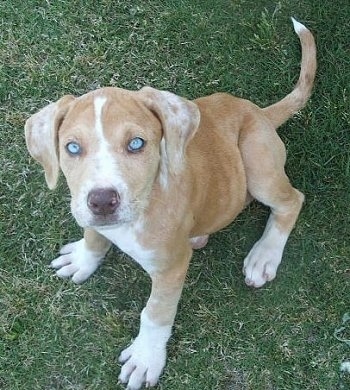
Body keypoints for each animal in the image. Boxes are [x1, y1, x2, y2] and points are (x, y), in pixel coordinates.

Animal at [26, 19, 316, 390]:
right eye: (72, 148)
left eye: (137, 144)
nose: (102, 202)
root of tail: (259, 112)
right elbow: (93, 235)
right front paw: (84, 258)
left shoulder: (171, 266)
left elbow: (155, 313)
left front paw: (145, 357)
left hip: (258, 160)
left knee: (291, 201)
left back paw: (264, 255)